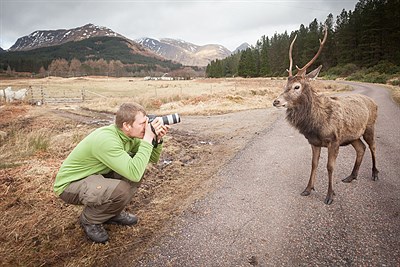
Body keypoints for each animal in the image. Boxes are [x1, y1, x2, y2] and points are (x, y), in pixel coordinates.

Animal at [274, 27, 380, 205]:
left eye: (297, 86)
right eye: (284, 85)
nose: (276, 101)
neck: (317, 124)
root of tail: (374, 102)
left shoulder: (334, 140)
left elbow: (330, 167)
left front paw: (330, 195)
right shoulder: (314, 142)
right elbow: (314, 164)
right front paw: (308, 189)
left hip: (370, 126)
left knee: (372, 146)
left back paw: (375, 173)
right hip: (353, 136)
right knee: (361, 148)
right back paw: (351, 176)